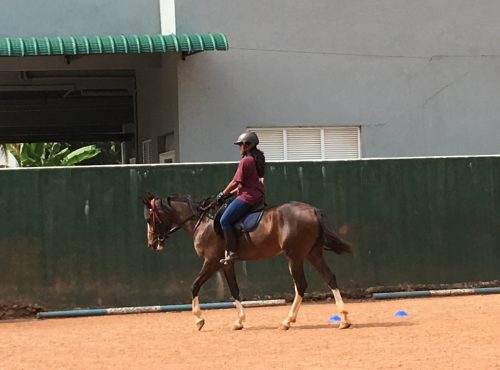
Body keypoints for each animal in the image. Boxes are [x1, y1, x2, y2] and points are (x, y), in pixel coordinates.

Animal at [141, 194, 352, 330]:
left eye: (150, 218)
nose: (151, 243)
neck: (202, 221)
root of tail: (313, 210)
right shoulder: (226, 264)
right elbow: (234, 290)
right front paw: (239, 321)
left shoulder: (211, 262)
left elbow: (194, 286)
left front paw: (199, 320)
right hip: (312, 254)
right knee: (330, 278)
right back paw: (343, 319)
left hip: (295, 256)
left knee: (301, 285)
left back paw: (287, 321)